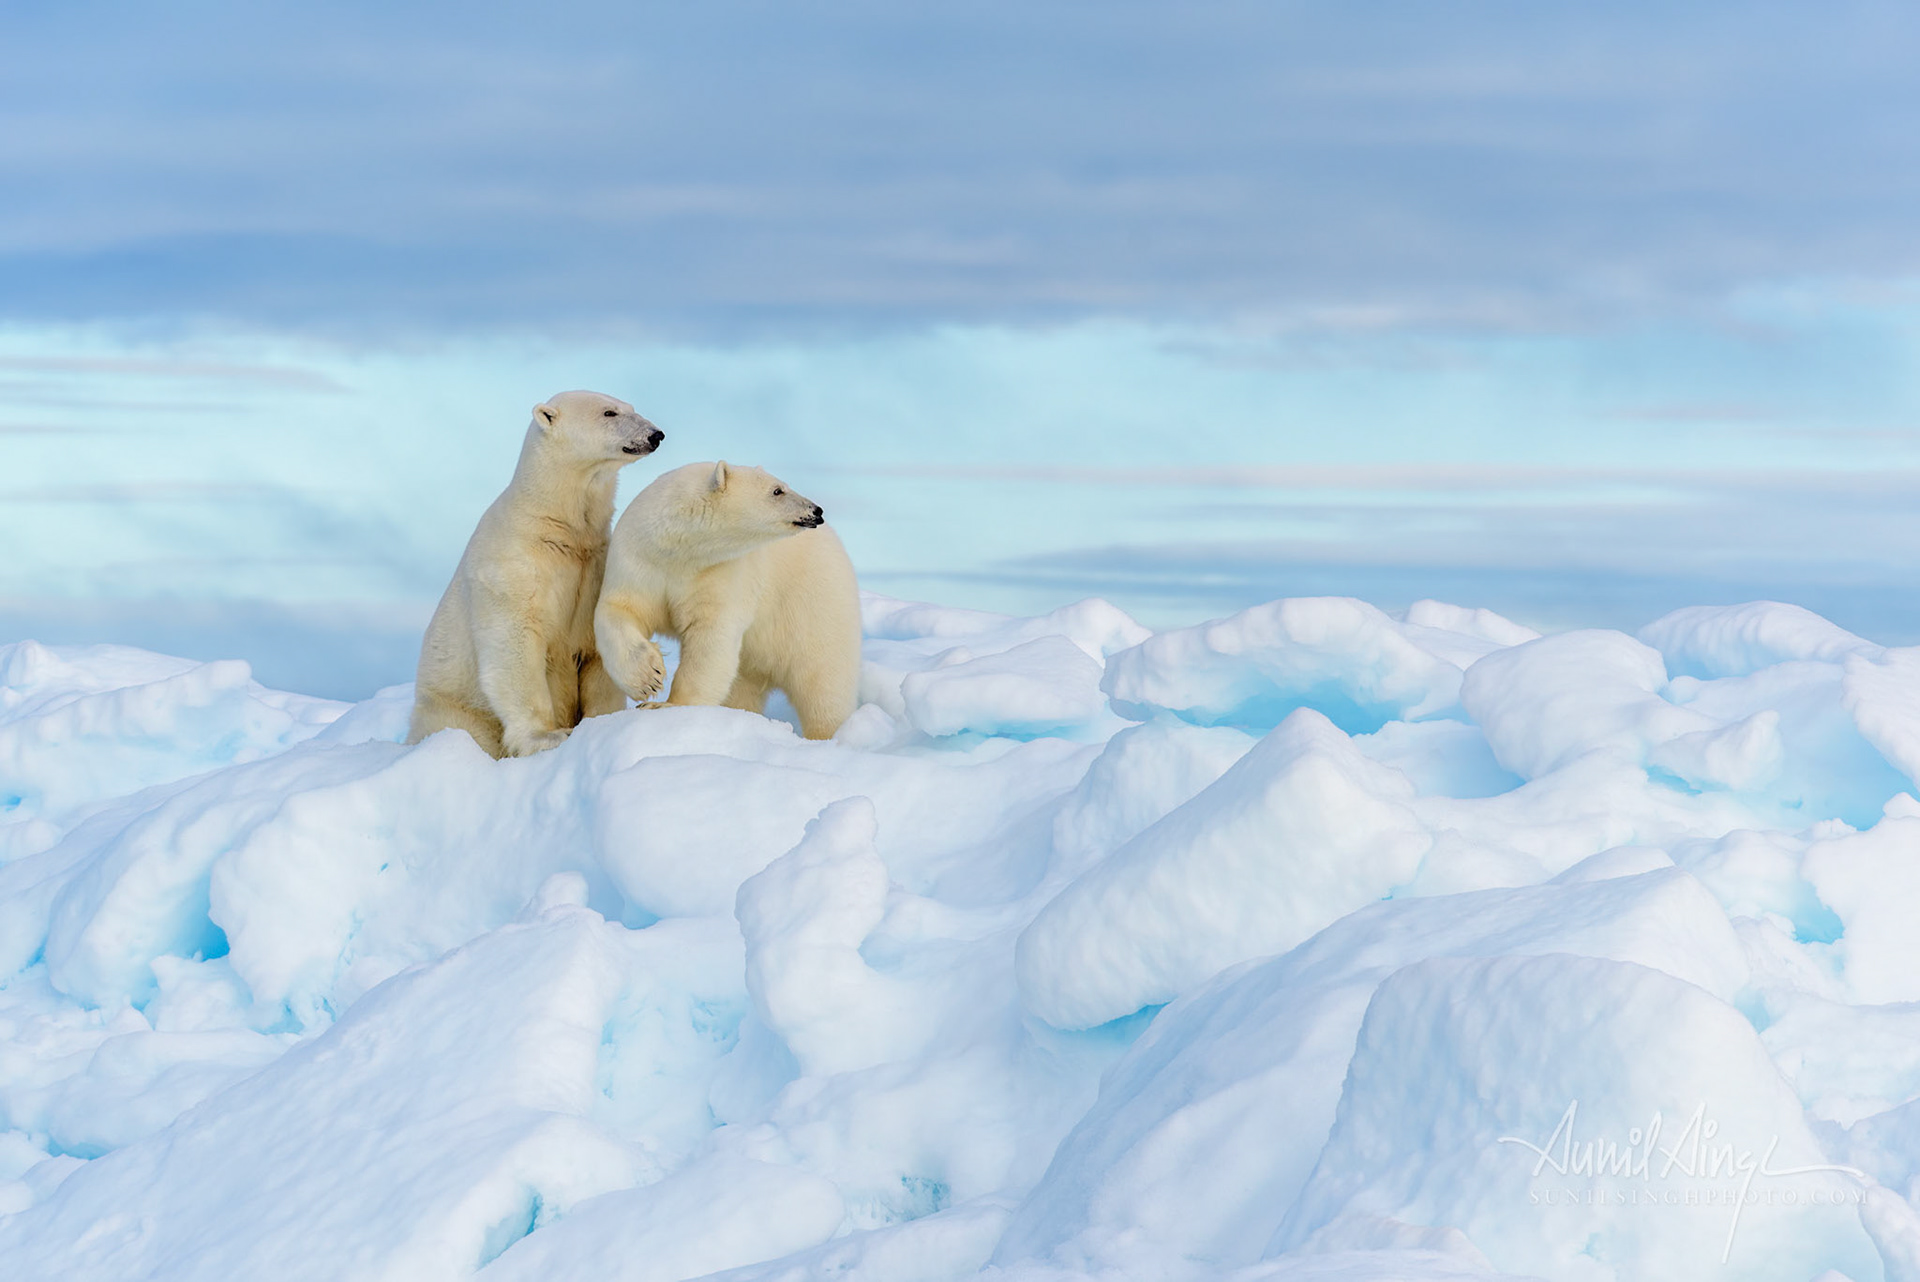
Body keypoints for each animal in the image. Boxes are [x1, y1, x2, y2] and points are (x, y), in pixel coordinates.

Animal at [406, 390, 664, 757]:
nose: (655, 435)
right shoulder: (512, 567)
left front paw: (642, 683)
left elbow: (603, 633)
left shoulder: (595, 562)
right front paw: (549, 736)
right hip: (454, 708)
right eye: (609, 412)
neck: (557, 525)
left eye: (631, 408)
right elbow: (515, 643)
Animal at [593, 460, 861, 741]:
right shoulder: (639, 560)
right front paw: (648, 678)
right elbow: (620, 609)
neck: (678, 549)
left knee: (823, 683)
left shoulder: (721, 573)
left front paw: (669, 705)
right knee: (744, 687)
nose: (816, 510)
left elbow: (710, 636)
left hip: (813, 602)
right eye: (778, 490)